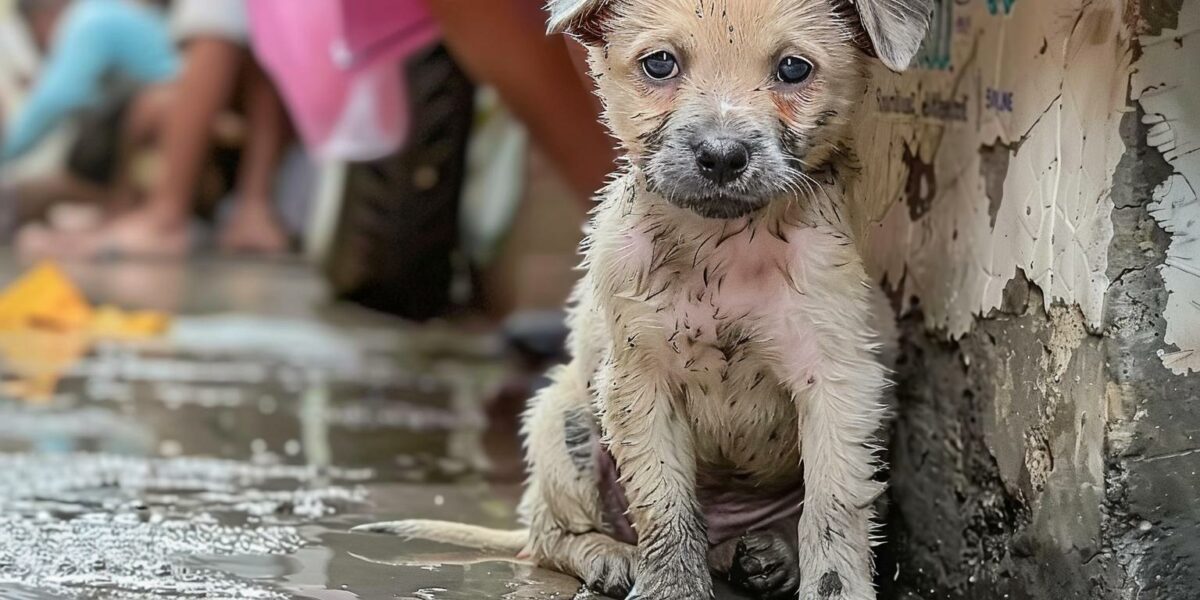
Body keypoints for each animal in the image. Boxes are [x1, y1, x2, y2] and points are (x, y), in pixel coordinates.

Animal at [350, 2, 931, 597]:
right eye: (660, 63)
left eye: (794, 68)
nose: (722, 157)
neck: (723, 246)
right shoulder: (641, 381)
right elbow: (665, 505)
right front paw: (670, 586)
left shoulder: (836, 385)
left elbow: (832, 513)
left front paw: (829, 582)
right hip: (562, 423)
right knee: (551, 537)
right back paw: (610, 557)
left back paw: (771, 556)